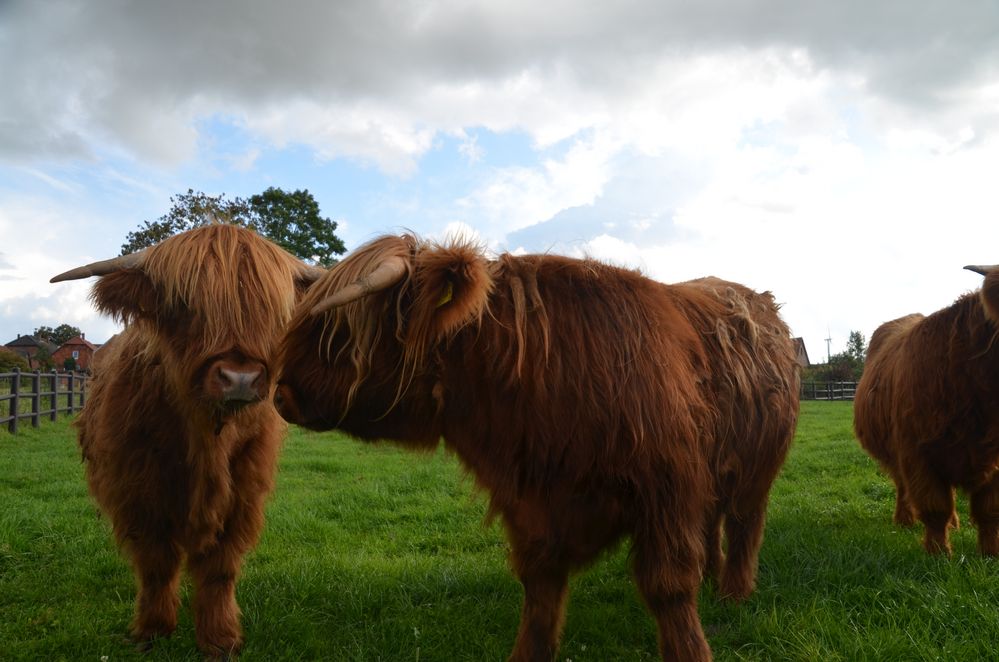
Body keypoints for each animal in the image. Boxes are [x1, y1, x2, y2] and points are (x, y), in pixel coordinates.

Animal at [50, 224, 320, 660]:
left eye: (271, 312)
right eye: (184, 306)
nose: (240, 378)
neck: (205, 437)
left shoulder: (243, 493)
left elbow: (219, 568)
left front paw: (220, 639)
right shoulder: (137, 492)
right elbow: (156, 563)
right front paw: (152, 630)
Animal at [272, 236, 796, 660]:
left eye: (338, 331)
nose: (280, 393)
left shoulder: (667, 491)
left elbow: (668, 587)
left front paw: (692, 651)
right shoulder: (529, 503)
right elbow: (540, 591)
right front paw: (529, 654)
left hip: (756, 470)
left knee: (745, 523)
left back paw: (734, 592)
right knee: (713, 524)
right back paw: (713, 577)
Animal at [852, 268, 999, 556]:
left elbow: (989, 511)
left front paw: (990, 553)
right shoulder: (917, 453)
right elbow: (935, 508)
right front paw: (938, 553)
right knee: (902, 487)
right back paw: (904, 519)